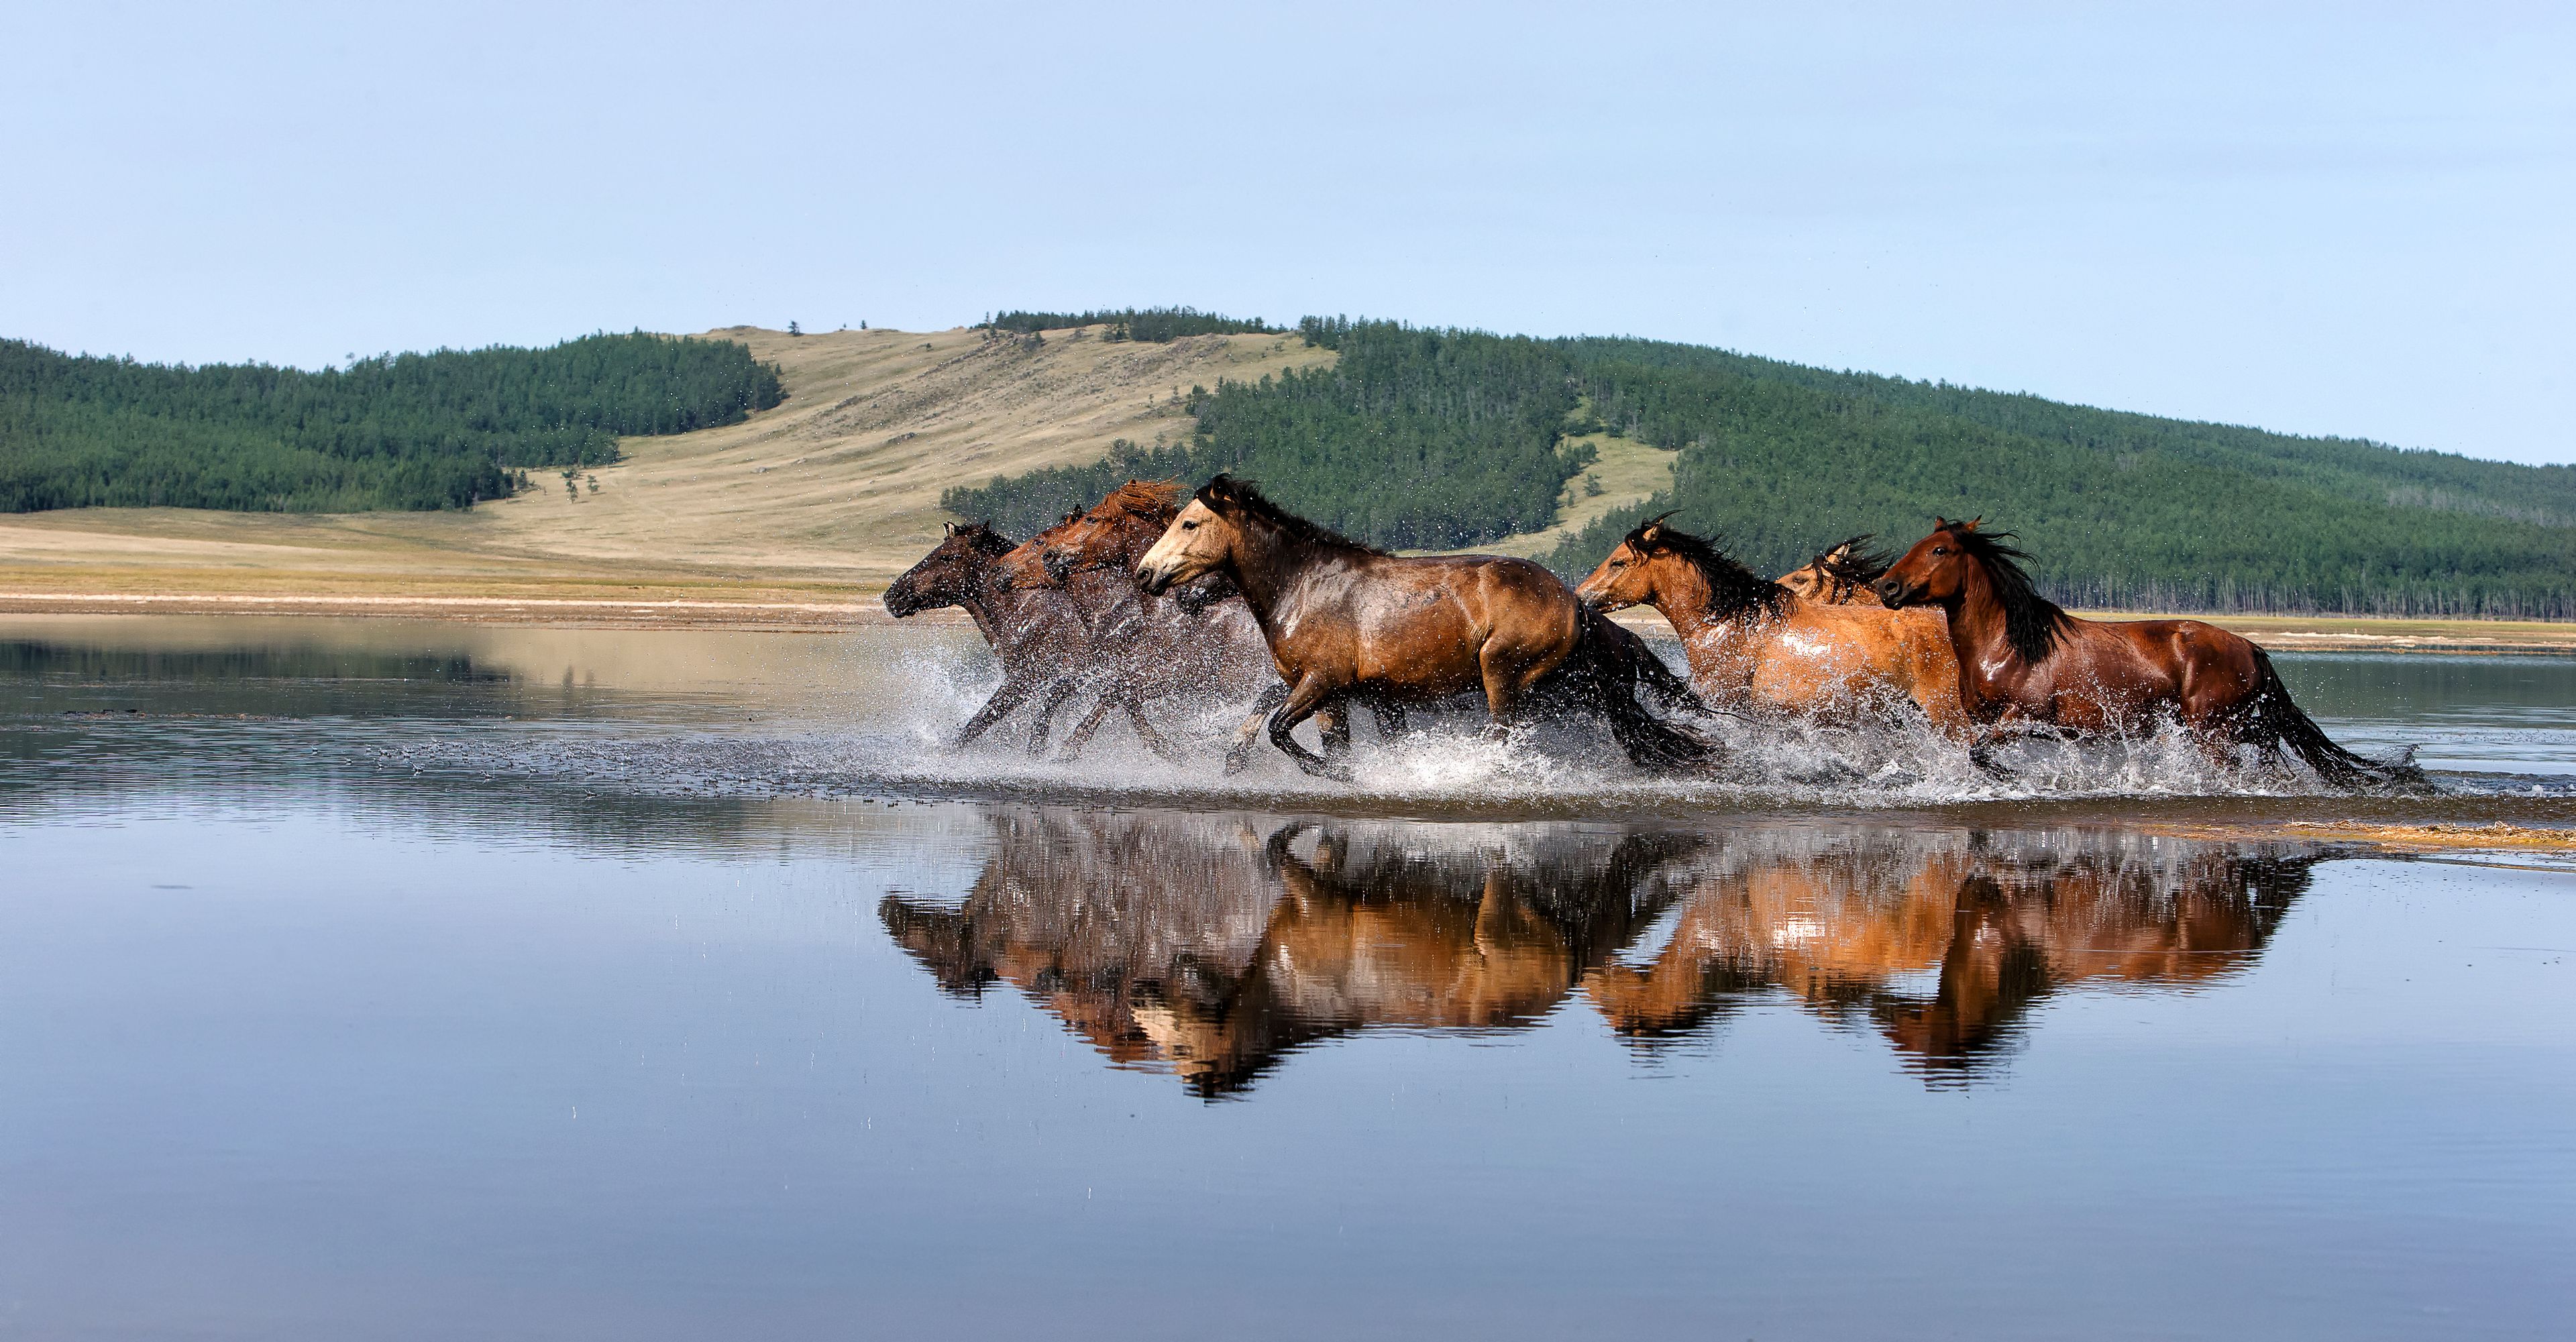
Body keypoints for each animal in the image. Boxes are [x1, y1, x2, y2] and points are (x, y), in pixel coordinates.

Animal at [1134, 474, 1710, 779]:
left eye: (1189, 523)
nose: (1145, 574)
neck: (1304, 585)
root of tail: (1576, 603)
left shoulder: (1321, 680)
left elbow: (1279, 730)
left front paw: (1336, 773)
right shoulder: (1335, 695)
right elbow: (1325, 741)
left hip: (1504, 675)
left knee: (1505, 736)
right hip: (1572, 691)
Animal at [1873, 518, 2419, 787]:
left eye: (1940, 550)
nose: (1887, 586)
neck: (2009, 646)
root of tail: (2253, 648)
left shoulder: (2024, 717)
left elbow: (1981, 752)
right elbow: (1972, 753)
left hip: (2214, 733)